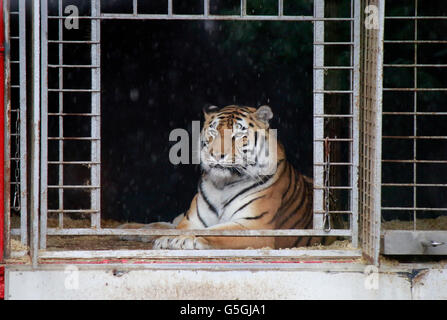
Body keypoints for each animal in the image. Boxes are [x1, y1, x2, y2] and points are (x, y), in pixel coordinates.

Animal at [151, 105, 322, 250]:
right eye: (213, 132)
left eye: (238, 134)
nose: (216, 155)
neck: (222, 185)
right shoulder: (191, 220)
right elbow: (181, 228)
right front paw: (166, 239)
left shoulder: (254, 226)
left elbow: (215, 231)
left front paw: (182, 239)